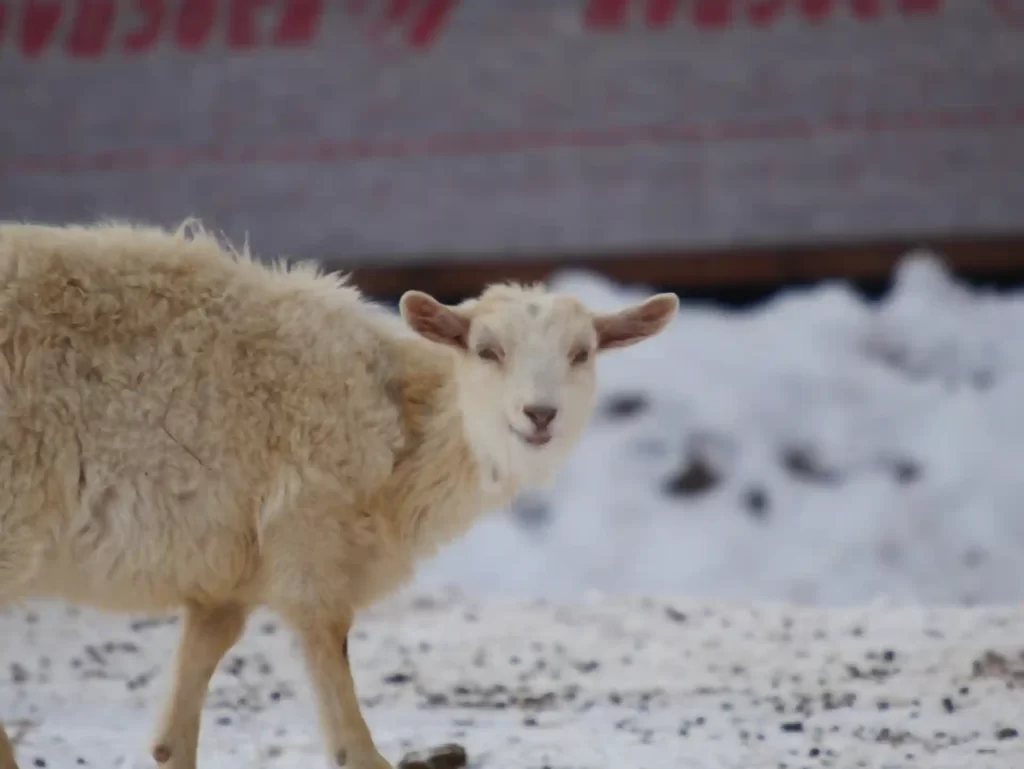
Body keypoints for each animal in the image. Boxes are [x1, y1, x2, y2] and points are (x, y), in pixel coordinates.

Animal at [0, 220, 679, 769]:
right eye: (488, 351)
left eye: (581, 353)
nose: (539, 415)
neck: (403, 424)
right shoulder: (313, 546)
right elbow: (353, 746)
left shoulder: (227, 584)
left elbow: (176, 734)